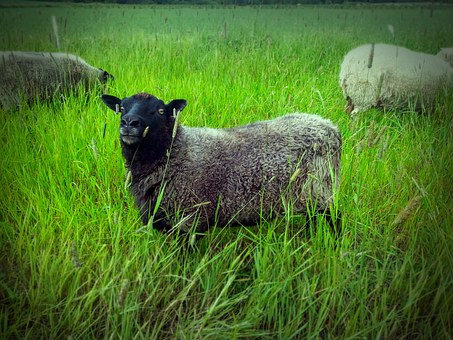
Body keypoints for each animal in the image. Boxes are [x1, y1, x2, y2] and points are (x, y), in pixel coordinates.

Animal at [100, 91, 340, 235]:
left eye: (160, 110)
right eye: (121, 108)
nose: (129, 122)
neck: (176, 152)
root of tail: (329, 126)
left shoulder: (188, 220)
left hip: (320, 191)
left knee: (334, 219)